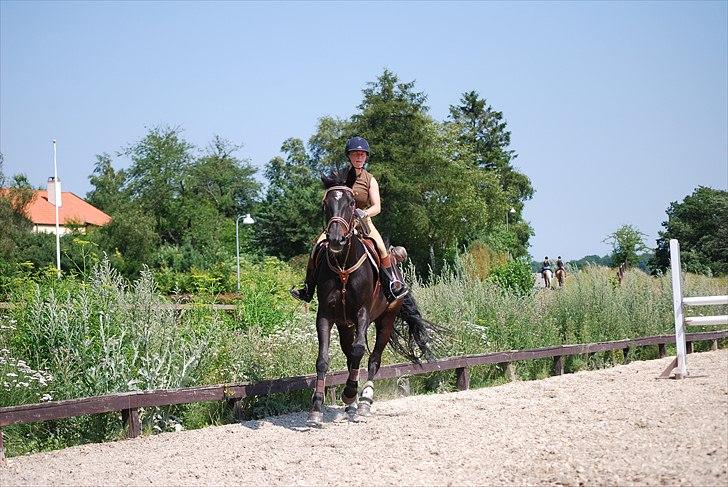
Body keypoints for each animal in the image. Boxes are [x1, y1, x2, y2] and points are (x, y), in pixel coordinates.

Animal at [304, 170, 424, 426]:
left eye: (351, 203)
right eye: (325, 204)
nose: (336, 240)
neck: (343, 265)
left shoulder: (363, 313)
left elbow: (360, 351)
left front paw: (350, 393)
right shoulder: (326, 315)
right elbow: (323, 359)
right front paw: (316, 408)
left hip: (386, 319)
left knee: (373, 358)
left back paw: (364, 401)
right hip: (345, 325)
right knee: (351, 356)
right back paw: (351, 405)